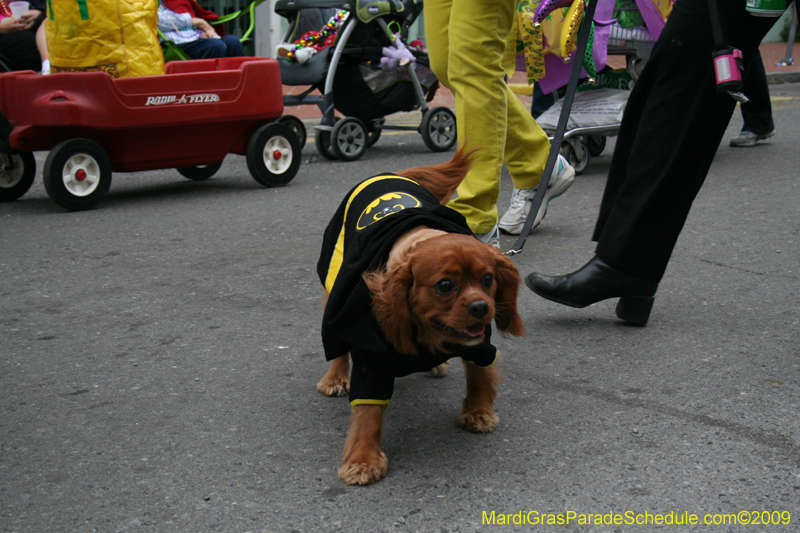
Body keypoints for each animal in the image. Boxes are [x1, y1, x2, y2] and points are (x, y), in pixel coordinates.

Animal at [316, 148, 528, 484]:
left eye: (488, 279)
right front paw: (363, 458)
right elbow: (368, 412)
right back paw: (335, 378)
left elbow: (479, 376)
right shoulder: (370, 359)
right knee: (336, 342)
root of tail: (389, 174)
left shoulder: (480, 345)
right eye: (445, 285)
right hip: (333, 287)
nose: (481, 307)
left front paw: (478, 412)